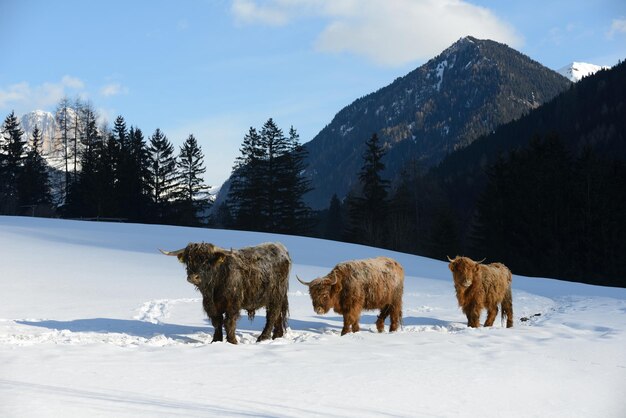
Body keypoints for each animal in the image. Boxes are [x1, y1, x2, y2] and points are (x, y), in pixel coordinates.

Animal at [160, 242, 288, 342]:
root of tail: (282, 249)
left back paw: (263, 337)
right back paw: (277, 336)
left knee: (272, 315)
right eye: (189, 260)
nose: (193, 277)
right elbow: (217, 322)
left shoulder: (233, 305)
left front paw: (232, 342)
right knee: (278, 315)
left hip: (276, 296)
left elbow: (229, 323)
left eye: (207, 261)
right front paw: (216, 341)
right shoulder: (211, 306)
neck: (213, 289)